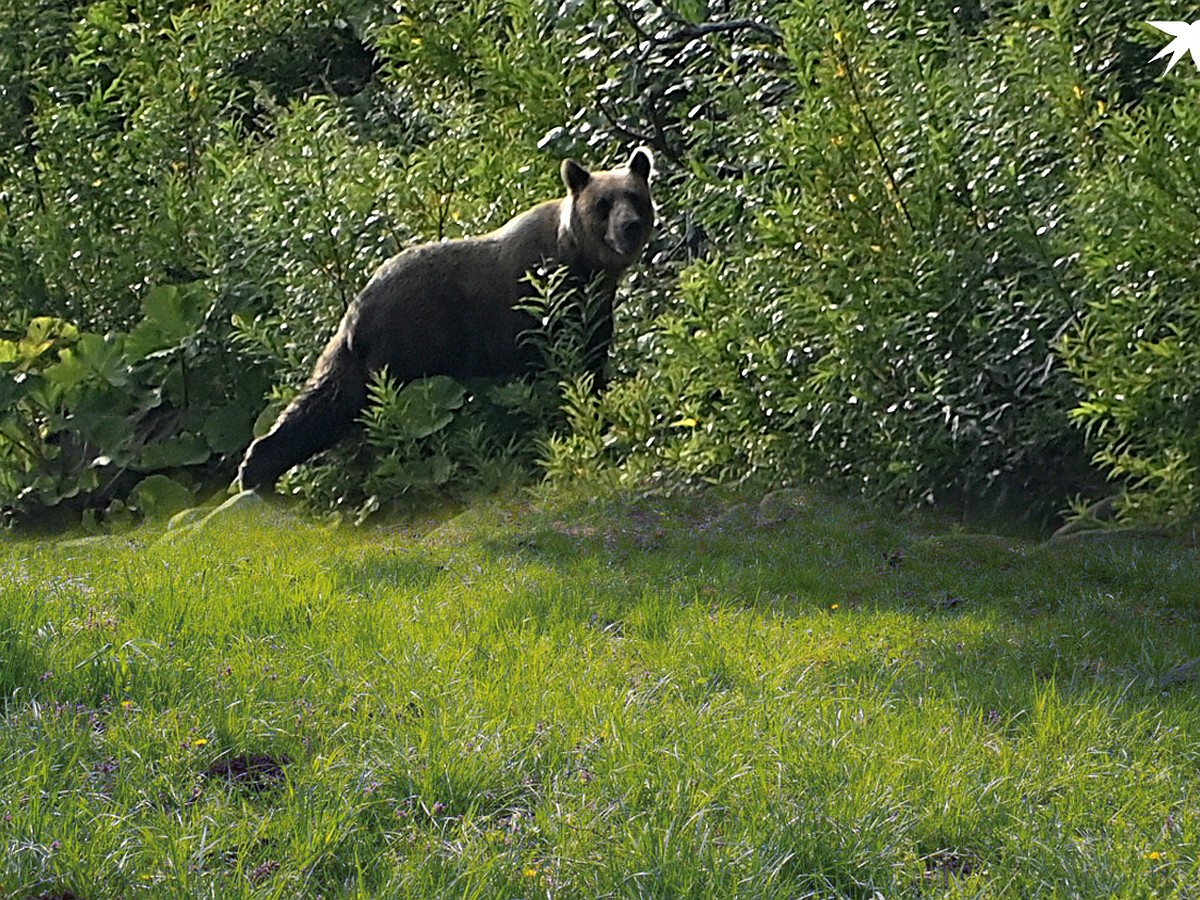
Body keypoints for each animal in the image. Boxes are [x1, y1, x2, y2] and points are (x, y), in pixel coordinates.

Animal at [235, 148, 657, 494]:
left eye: (635, 196)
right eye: (603, 203)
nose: (630, 226)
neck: (582, 262)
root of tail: (356, 308)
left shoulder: (594, 308)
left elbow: (591, 361)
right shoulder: (536, 303)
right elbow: (556, 364)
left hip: (364, 354)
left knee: (327, 401)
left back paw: (258, 465)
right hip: (413, 342)